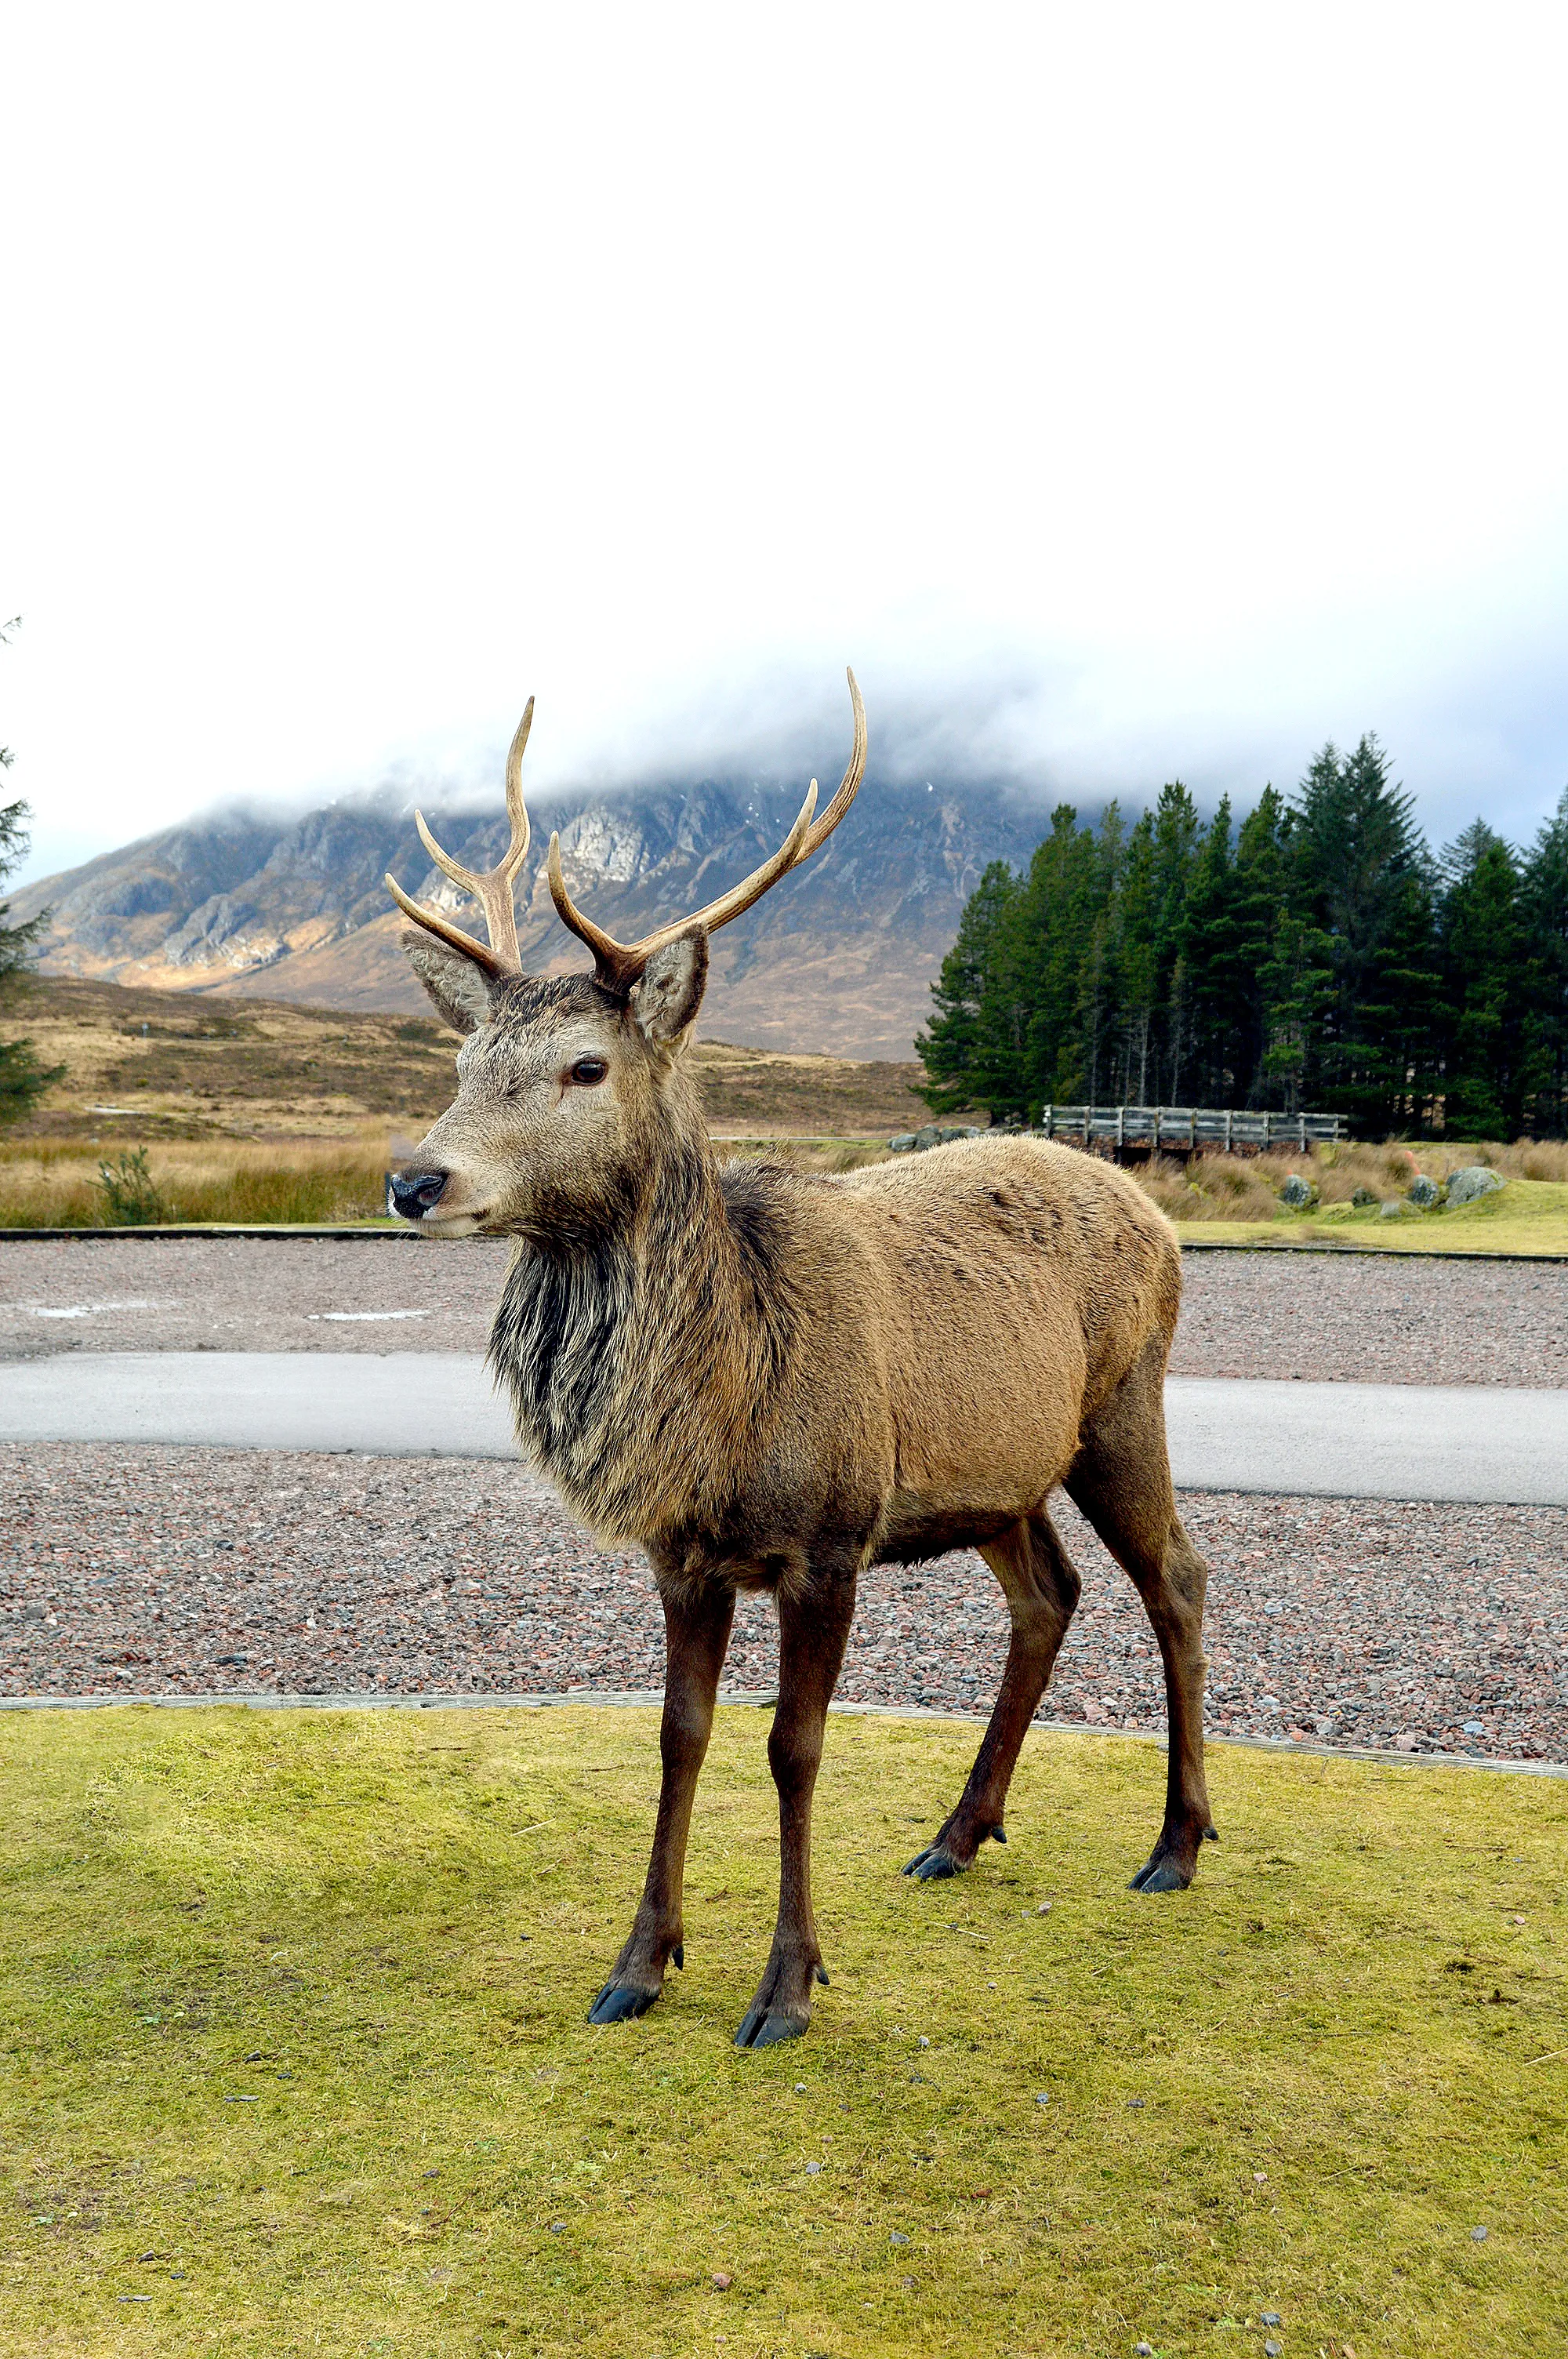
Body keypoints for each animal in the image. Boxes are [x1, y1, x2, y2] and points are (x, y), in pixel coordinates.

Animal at [384, 671, 1217, 2048]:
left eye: (585, 1065)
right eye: (460, 1062)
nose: (414, 1180)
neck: (717, 1412)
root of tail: (1153, 1205)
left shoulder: (829, 1536)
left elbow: (794, 1749)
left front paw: (786, 1986)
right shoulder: (683, 1554)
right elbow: (679, 1736)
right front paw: (639, 1963)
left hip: (1122, 1406)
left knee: (1179, 1581)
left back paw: (1178, 1845)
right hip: (994, 1474)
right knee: (1049, 1595)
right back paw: (958, 1834)